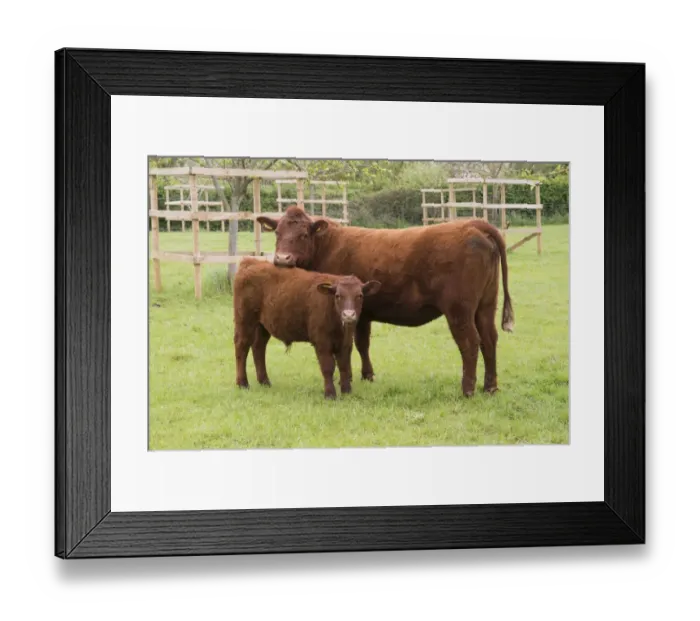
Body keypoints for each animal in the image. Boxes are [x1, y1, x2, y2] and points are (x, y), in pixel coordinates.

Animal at [233, 257, 381, 399]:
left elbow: (344, 366)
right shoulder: (321, 342)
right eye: (338, 296)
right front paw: (330, 394)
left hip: (262, 325)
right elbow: (328, 367)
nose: (349, 315)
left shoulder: (346, 342)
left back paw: (264, 381)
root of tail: (251, 261)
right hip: (244, 320)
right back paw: (242, 383)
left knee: (258, 347)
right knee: (242, 347)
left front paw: (347, 391)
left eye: (360, 296)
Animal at [256, 206, 514, 397]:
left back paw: (467, 389)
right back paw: (490, 387)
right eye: (277, 233)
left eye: (303, 235)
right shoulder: (362, 312)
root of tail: (472, 224)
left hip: (459, 310)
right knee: (489, 339)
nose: (281, 259)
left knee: (470, 342)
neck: (327, 245)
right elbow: (362, 344)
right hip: (486, 305)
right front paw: (367, 375)